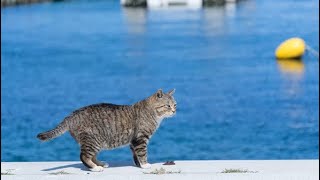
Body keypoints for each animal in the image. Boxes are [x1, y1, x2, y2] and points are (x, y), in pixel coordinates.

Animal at [38, 89, 178, 172]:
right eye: (167, 105)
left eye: (175, 105)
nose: (174, 111)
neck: (153, 113)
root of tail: (71, 116)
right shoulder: (140, 138)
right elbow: (142, 153)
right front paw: (145, 165)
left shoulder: (133, 141)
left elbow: (135, 154)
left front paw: (138, 164)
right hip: (93, 140)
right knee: (84, 156)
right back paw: (95, 168)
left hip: (95, 142)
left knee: (91, 155)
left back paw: (100, 163)